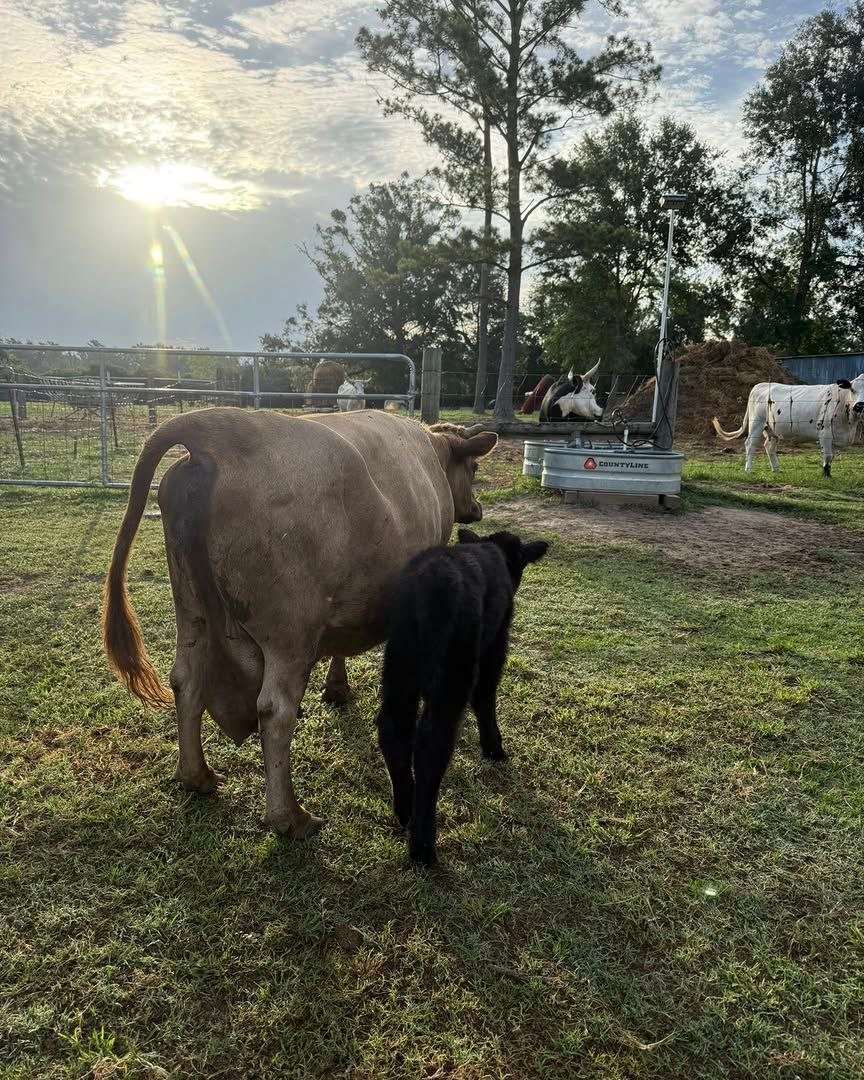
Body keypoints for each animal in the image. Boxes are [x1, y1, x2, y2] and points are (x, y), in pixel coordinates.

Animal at [102, 408, 498, 839]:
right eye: (475, 467)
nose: (477, 509)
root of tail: (214, 432)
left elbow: (341, 647)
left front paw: (337, 689)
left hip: (191, 611)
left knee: (186, 681)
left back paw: (197, 776)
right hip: (290, 634)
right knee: (275, 711)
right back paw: (290, 817)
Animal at [376, 528, 549, 866]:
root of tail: (425, 585)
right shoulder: (495, 643)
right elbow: (485, 695)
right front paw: (493, 748)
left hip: (400, 660)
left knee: (393, 728)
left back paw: (405, 809)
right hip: (453, 667)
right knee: (432, 744)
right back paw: (423, 846)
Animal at [712, 375, 864, 477]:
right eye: (852, 389)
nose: (859, 406)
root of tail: (760, 385)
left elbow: (831, 457)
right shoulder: (825, 433)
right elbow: (827, 456)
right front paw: (826, 475)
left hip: (772, 429)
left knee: (769, 446)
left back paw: (776, 469)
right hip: (756, 423)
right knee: (750, 444)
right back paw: (749, 469)